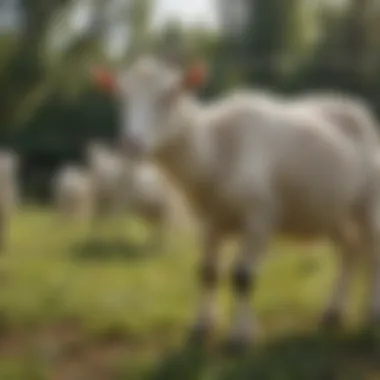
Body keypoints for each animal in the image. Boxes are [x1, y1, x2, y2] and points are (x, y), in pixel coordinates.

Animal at [93, 57, 380, 354]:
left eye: (170, 95)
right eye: (121, 97)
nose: (130, 144)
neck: (216, 151)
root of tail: (350, 104)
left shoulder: (260, 217)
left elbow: (243, 277)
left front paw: (240, 337)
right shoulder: (209, 222)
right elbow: (207, 273)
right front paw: (200, 328)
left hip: (368, 199)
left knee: (372, 250)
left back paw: (371, 311)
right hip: (331, 210)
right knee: (349, 250)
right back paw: (333, 313)